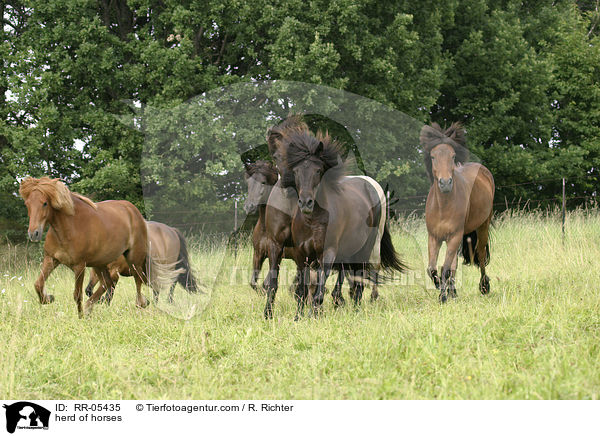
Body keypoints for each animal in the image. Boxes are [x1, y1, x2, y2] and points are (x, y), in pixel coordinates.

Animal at [19, 177, 180, 316]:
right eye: (27, 204)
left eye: (45, 203)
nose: (34, 233)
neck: (67, 229)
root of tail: (133, 211)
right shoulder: (51, 259)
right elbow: (38, 284)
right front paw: (49, 298)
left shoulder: (79, 266)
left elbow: (77, 295)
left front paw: (81, 317)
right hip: (100, 264)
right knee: (108, 284)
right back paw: (92, 306)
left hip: (133, 259)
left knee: (138, 280)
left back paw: (141, 303)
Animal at [420, 121, 494, 302]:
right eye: (433, 157)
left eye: (453, 156)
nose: (445, 183)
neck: (443, 207)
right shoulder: (435, 237)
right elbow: (432, 268)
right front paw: (441, 287)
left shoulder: (454, 236)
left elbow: (445, 268)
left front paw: (442, 296)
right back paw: (453, 292)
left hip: (482, 226)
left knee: (481, 255)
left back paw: (484, 287)